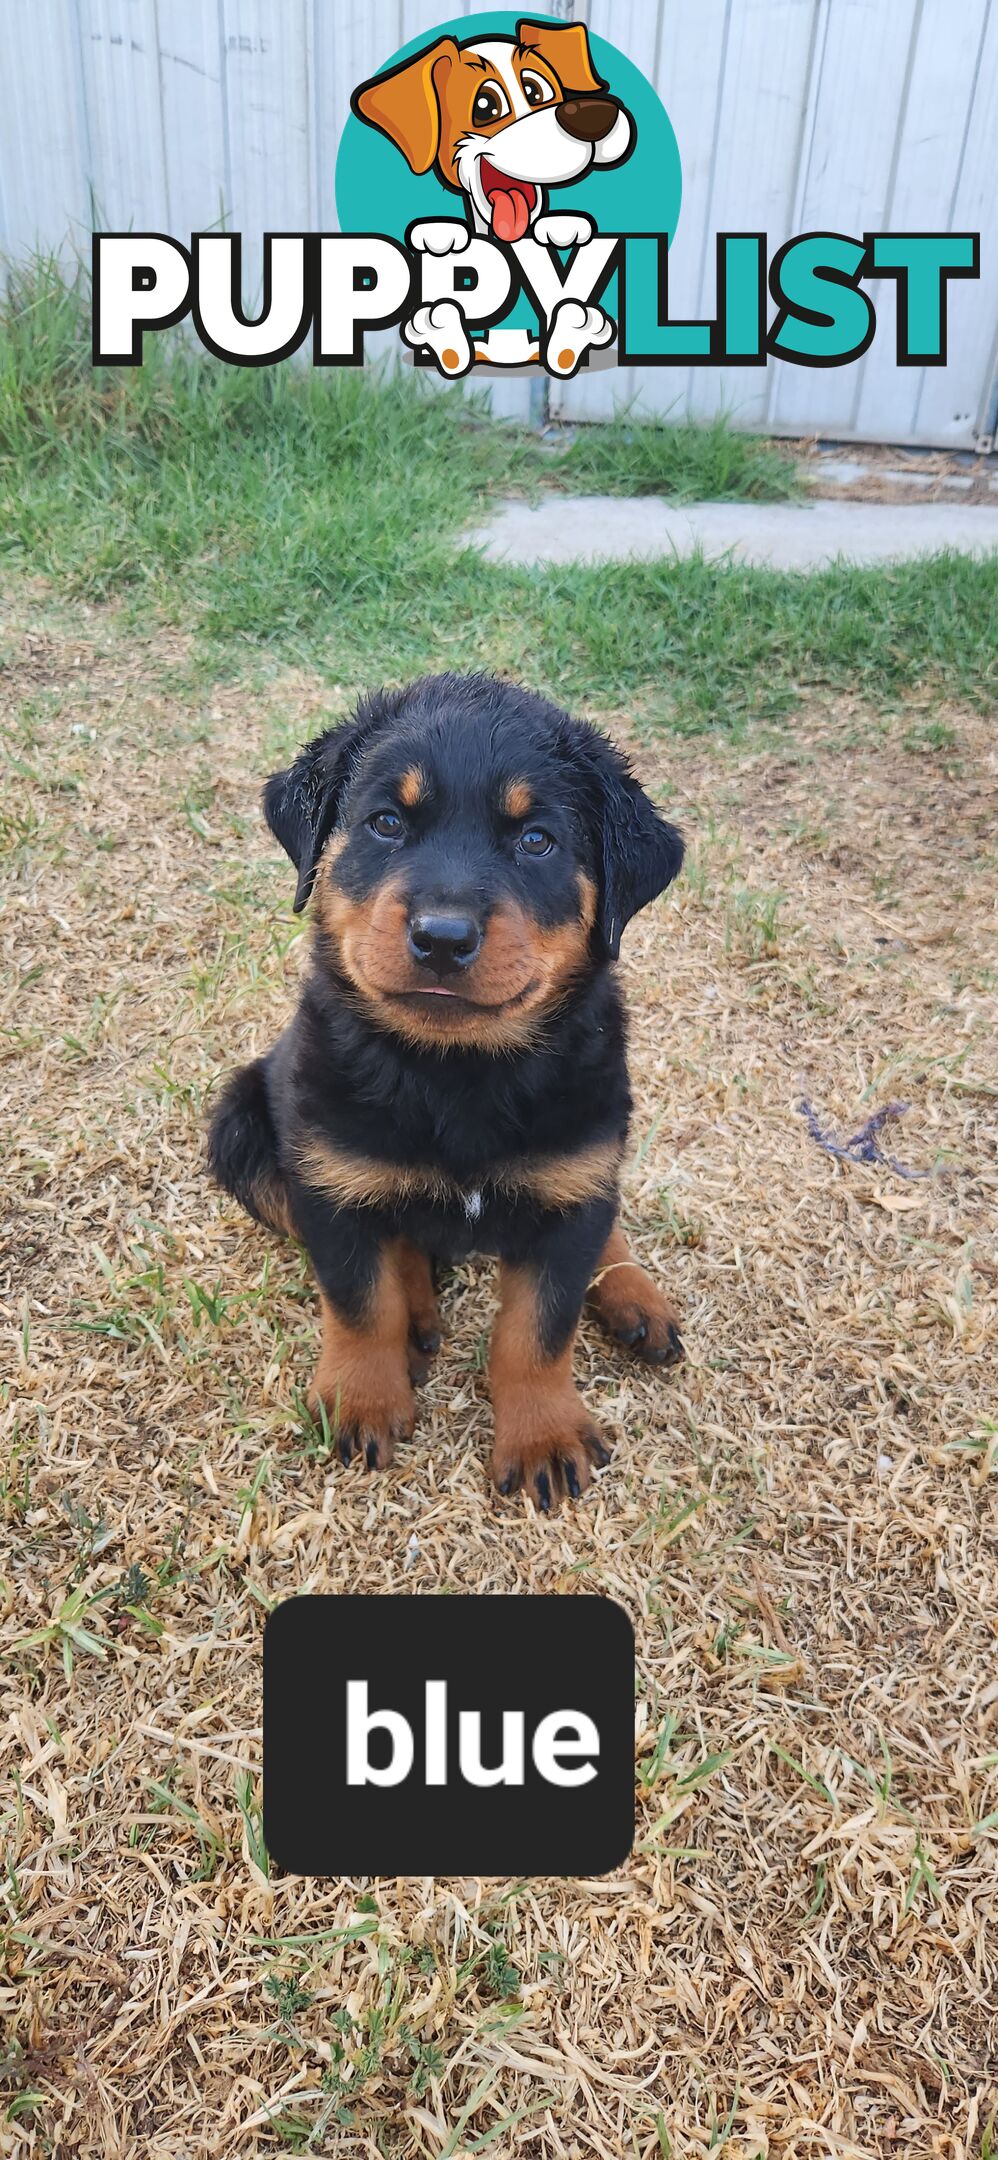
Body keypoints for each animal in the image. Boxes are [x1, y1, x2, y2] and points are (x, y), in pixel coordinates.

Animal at [206, 669, 682, 1503]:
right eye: (386, 823)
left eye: (537, 840)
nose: (442, 937)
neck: (457, 1072)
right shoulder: (325, 1175)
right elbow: (359, 1300)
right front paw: (362, 1399)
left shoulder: (575, 1179)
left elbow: (540, 1327)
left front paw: (543, 1435)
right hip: (244, 1123)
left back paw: (634, 1296)